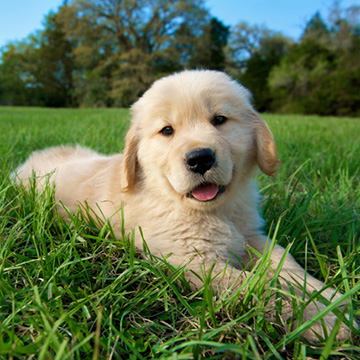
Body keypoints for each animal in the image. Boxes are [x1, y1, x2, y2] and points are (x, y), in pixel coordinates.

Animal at [15, 69, 350, 340]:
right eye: (167, 131)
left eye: (219, 120)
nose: (200, 158)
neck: (211, 211)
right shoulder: (190, 261)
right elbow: (257, 286)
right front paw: (321, 318)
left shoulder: (251, 236)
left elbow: (286, 262)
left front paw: (328, 297)